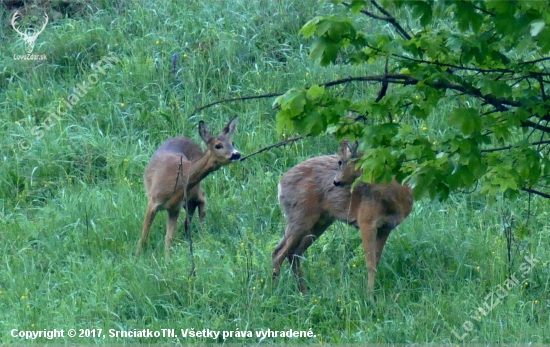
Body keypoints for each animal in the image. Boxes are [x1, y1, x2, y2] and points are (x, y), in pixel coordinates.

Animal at [137, 117, 240, 260]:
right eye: (218, 145)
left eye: (232, 142)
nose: (237, 154)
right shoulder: (153, 201)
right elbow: (144, 235)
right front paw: (137, 257)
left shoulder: (174, 208)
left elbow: (169, 238)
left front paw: (167, 260)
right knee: (195, 204)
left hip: (194, 190)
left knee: (200, 199)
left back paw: (201, 234)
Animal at [272, 140, 414, 298]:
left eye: (340, 162)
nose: (335, 181)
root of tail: (280, 183)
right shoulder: (366, 220)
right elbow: (370, 263)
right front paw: (369, 297)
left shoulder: (386, 227)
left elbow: (376, 262)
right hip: (300, 216)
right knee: (278, 252)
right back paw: (274, 293)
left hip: (319, 222)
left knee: (294, 253)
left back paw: (304, 293)